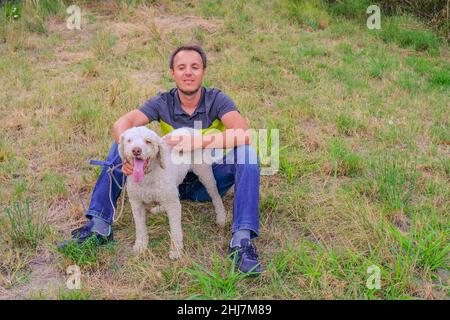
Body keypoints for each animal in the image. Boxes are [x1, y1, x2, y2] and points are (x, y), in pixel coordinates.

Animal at [118, 125, 227, 260]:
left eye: (148, 141)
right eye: (129, 141)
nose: (136, 150)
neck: (148, 176)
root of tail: (191, 129)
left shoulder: (172, 204)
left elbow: (175, 229)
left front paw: (176, 250)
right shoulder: (136, 202)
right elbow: (140, 227)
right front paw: (140, 245)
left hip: (204, 172)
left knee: (215, 194)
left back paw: (221, 217)